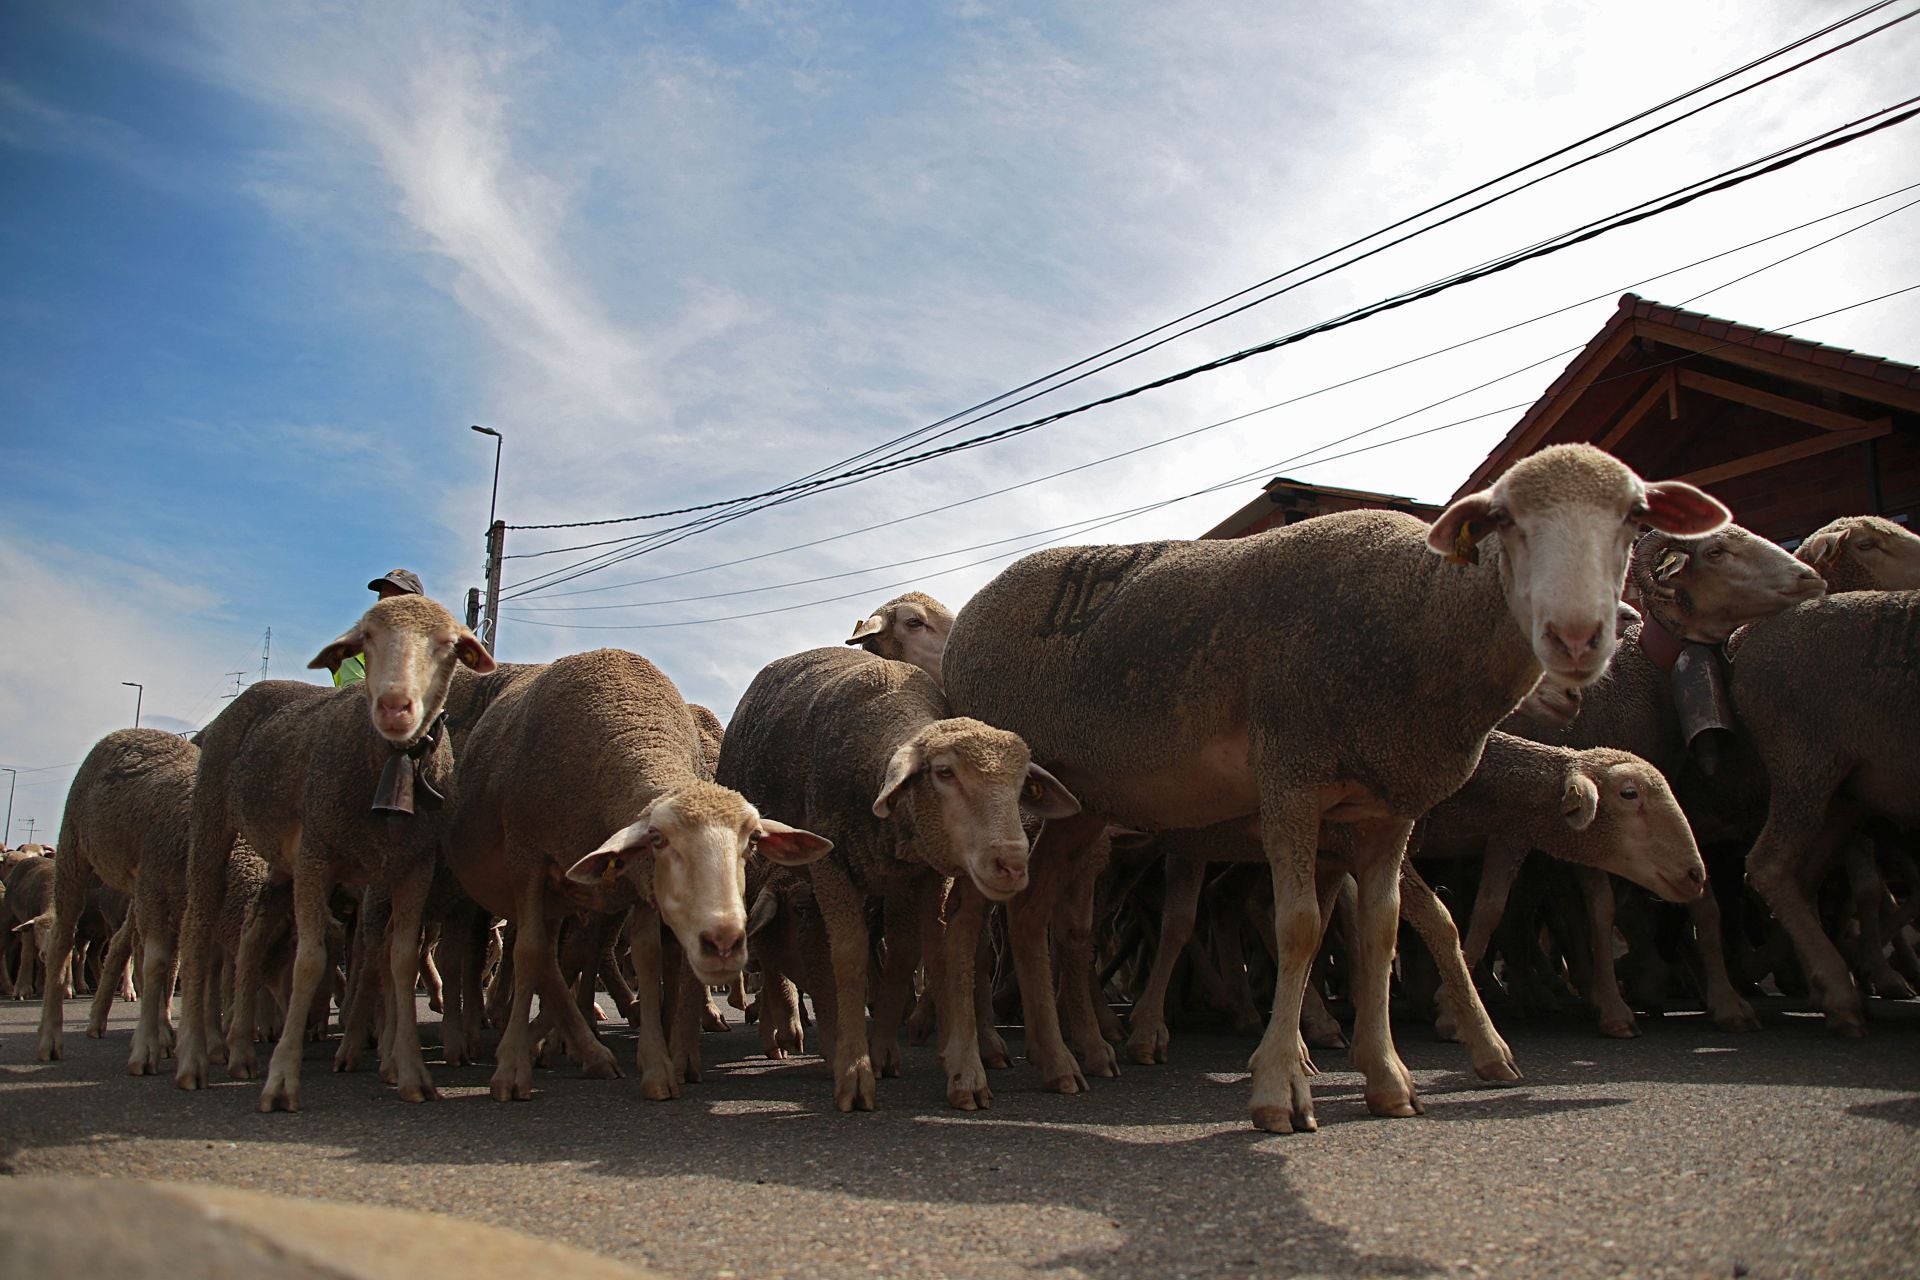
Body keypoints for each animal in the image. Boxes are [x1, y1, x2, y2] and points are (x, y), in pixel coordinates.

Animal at [36, 729, 196, 1073]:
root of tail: (124, 732)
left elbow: (170, 964)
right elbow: (158, 962)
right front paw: (147, 1048)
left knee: (129, 944)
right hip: (74, 847)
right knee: (62, 940)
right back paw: (51, 1037)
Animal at [171, 594, 496, 1111]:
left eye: (447, 644)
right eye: (367, 638)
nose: (394, 705)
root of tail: (256, 691)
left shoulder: (413, 868)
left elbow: (400, 960)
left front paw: (412, 1074)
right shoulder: (317, 858)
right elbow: (310, 961)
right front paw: (283, 1080)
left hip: (281, 865)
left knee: (252, 935)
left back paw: (241, 1051)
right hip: (214, 817)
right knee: (198, 927)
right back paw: (194, 1059)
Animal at [443, 648, 832, 1102]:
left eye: (752, 841)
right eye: (658, 840)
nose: (724, 943)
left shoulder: (639, 888)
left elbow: (647, 958)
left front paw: (659, 1067)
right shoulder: (528, 861)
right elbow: (529, 953)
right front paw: (511, 1069)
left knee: (569, 957)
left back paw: (589, 1048)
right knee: (522, 953)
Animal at [715, 645, 1078, 1111]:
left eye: (1021, 787)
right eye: (944, 772)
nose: (1013, 863)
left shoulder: (929, 873)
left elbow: (939, 954)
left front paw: (963, 1069)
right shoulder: (831, 866)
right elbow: (848, 958)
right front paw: (854, 1071)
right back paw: (787, 1033)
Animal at [943, 443, 1728, 1133]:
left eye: (1634, 517)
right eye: (1505, 520)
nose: (1579, 636)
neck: (1417, 624)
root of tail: (976, 604)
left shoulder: (1387, 809)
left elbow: (1380, 930)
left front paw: (1386, 1077)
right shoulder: (1292, 778)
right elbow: (1301, 927)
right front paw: (1279, 1088)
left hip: (1077, 805)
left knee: (1034, 916)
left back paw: (1063, 1059)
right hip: (1001, 797)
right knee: (971, 920)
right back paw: (985, 1063)